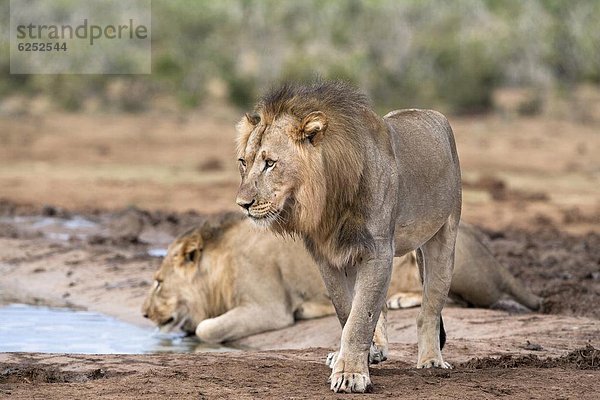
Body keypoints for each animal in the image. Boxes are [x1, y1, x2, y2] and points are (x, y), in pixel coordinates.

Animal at [143, 214, 540, 342]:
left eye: (159, 281)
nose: (144, 313)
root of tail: (495, 261)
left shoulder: (269, 307)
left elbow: (207, 328)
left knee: (457, 298)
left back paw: (400, 299)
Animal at [234, 79, 460, 392]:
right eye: (243, 162)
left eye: (270, 163)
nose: (242, 204)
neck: (327, 200)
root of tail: (431, 113)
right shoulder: (327, 255)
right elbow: (348, 310)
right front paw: (357, 359)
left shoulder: (378, 251)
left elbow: (360, 317)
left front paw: (351, 374)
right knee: (381, 308)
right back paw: (374, 352)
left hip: (443, 237)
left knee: (430, 308)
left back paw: (431, 361)